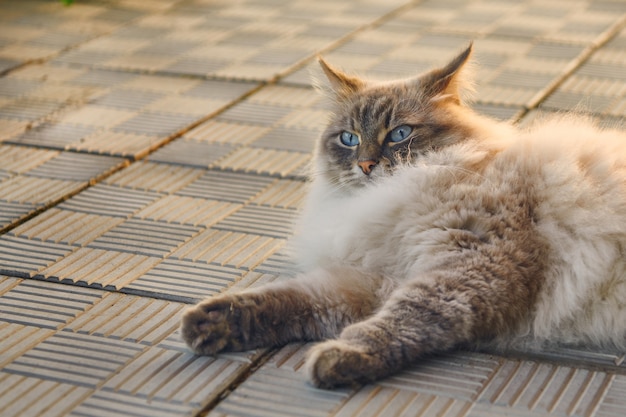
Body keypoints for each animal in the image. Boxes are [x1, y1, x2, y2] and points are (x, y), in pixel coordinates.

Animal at [179, 44, 624, 388]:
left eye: (399, 134)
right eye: (349, 139)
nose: (366, 165)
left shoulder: (470, 261)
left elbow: (402, 319)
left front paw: (339, 357)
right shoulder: (369, 277)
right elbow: (290, 299)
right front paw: (210, 323)